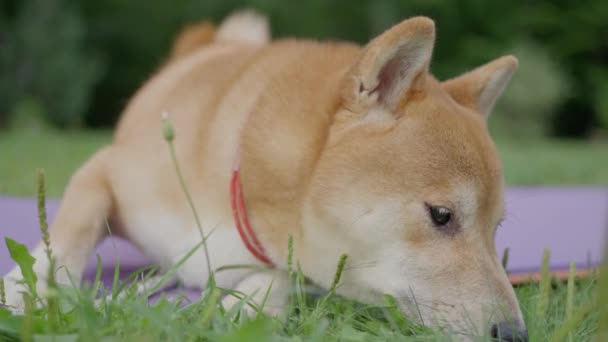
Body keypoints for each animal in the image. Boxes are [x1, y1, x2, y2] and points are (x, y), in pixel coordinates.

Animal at [3, 10, 528, 340]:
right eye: (441, 215)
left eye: (495, 228)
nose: (515, 335)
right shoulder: (106, 170)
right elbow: (67, 233)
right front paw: (25, 288)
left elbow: (277, 278)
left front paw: (244, 307)